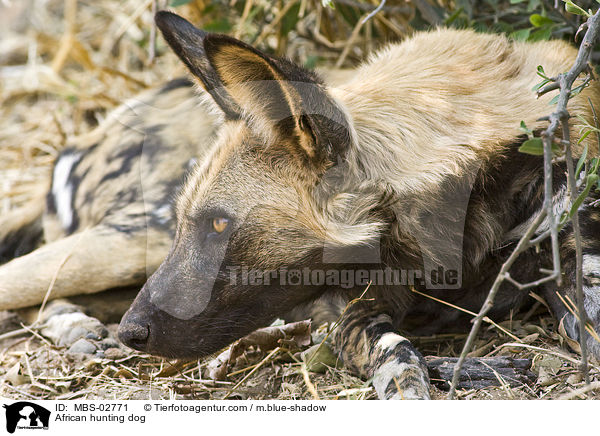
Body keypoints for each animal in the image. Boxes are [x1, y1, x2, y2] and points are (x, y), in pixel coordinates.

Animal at [1, 9, 600, 398]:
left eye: (218, 224)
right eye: (200, 223)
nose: (133, 333)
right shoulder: (357, 319)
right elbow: (402, 364)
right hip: (130, 243)